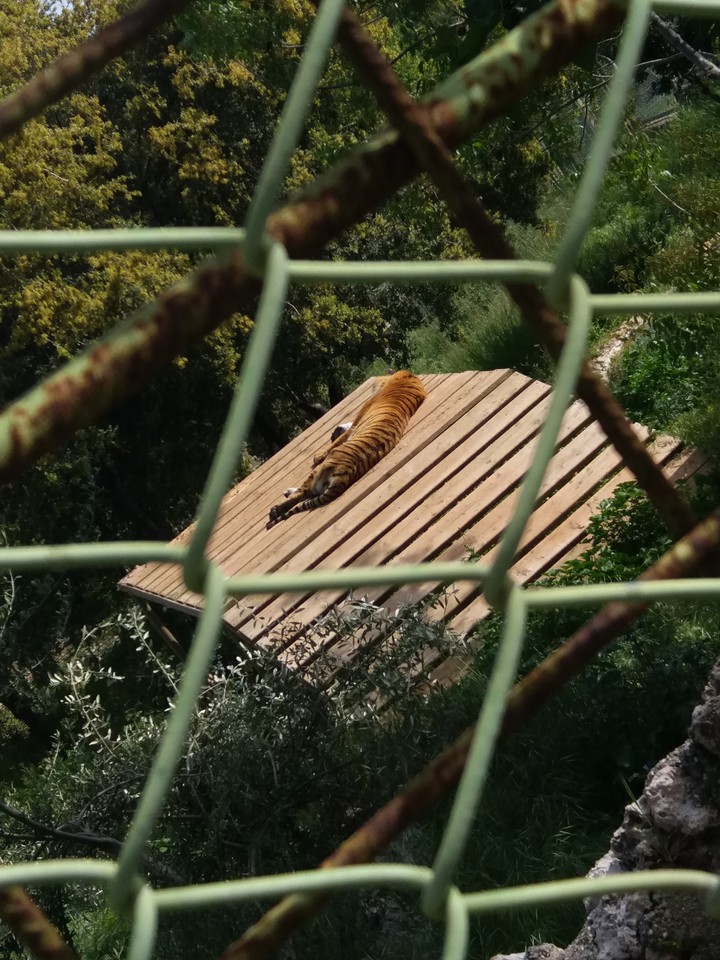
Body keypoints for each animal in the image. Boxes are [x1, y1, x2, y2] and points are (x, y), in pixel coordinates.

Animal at [267, 370, 426, 528]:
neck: (407, 385)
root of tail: (344, 476)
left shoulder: (355, 423)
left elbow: (336, 441)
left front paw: (319, 454)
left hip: (321, 470)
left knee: (303, 491)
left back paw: (277, 508)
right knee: (308, 492)